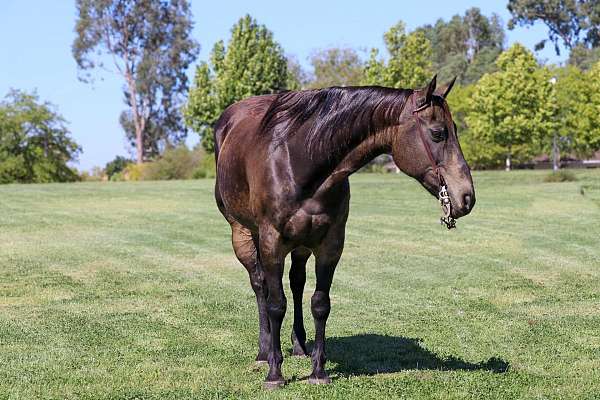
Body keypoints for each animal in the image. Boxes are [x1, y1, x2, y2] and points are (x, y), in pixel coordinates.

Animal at [214, 76, 474, 388]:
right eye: (438, 133)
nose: (466, 197)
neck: (299, 161)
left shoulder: (331, 245)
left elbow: (320, 303)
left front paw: (318, 371)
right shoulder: (271, 242)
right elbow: (276, 304)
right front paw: (275, 374)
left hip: (301, 245)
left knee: (297, 283)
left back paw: (299, 345)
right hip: (242, 233)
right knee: (259, 285)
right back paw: (265, 351)